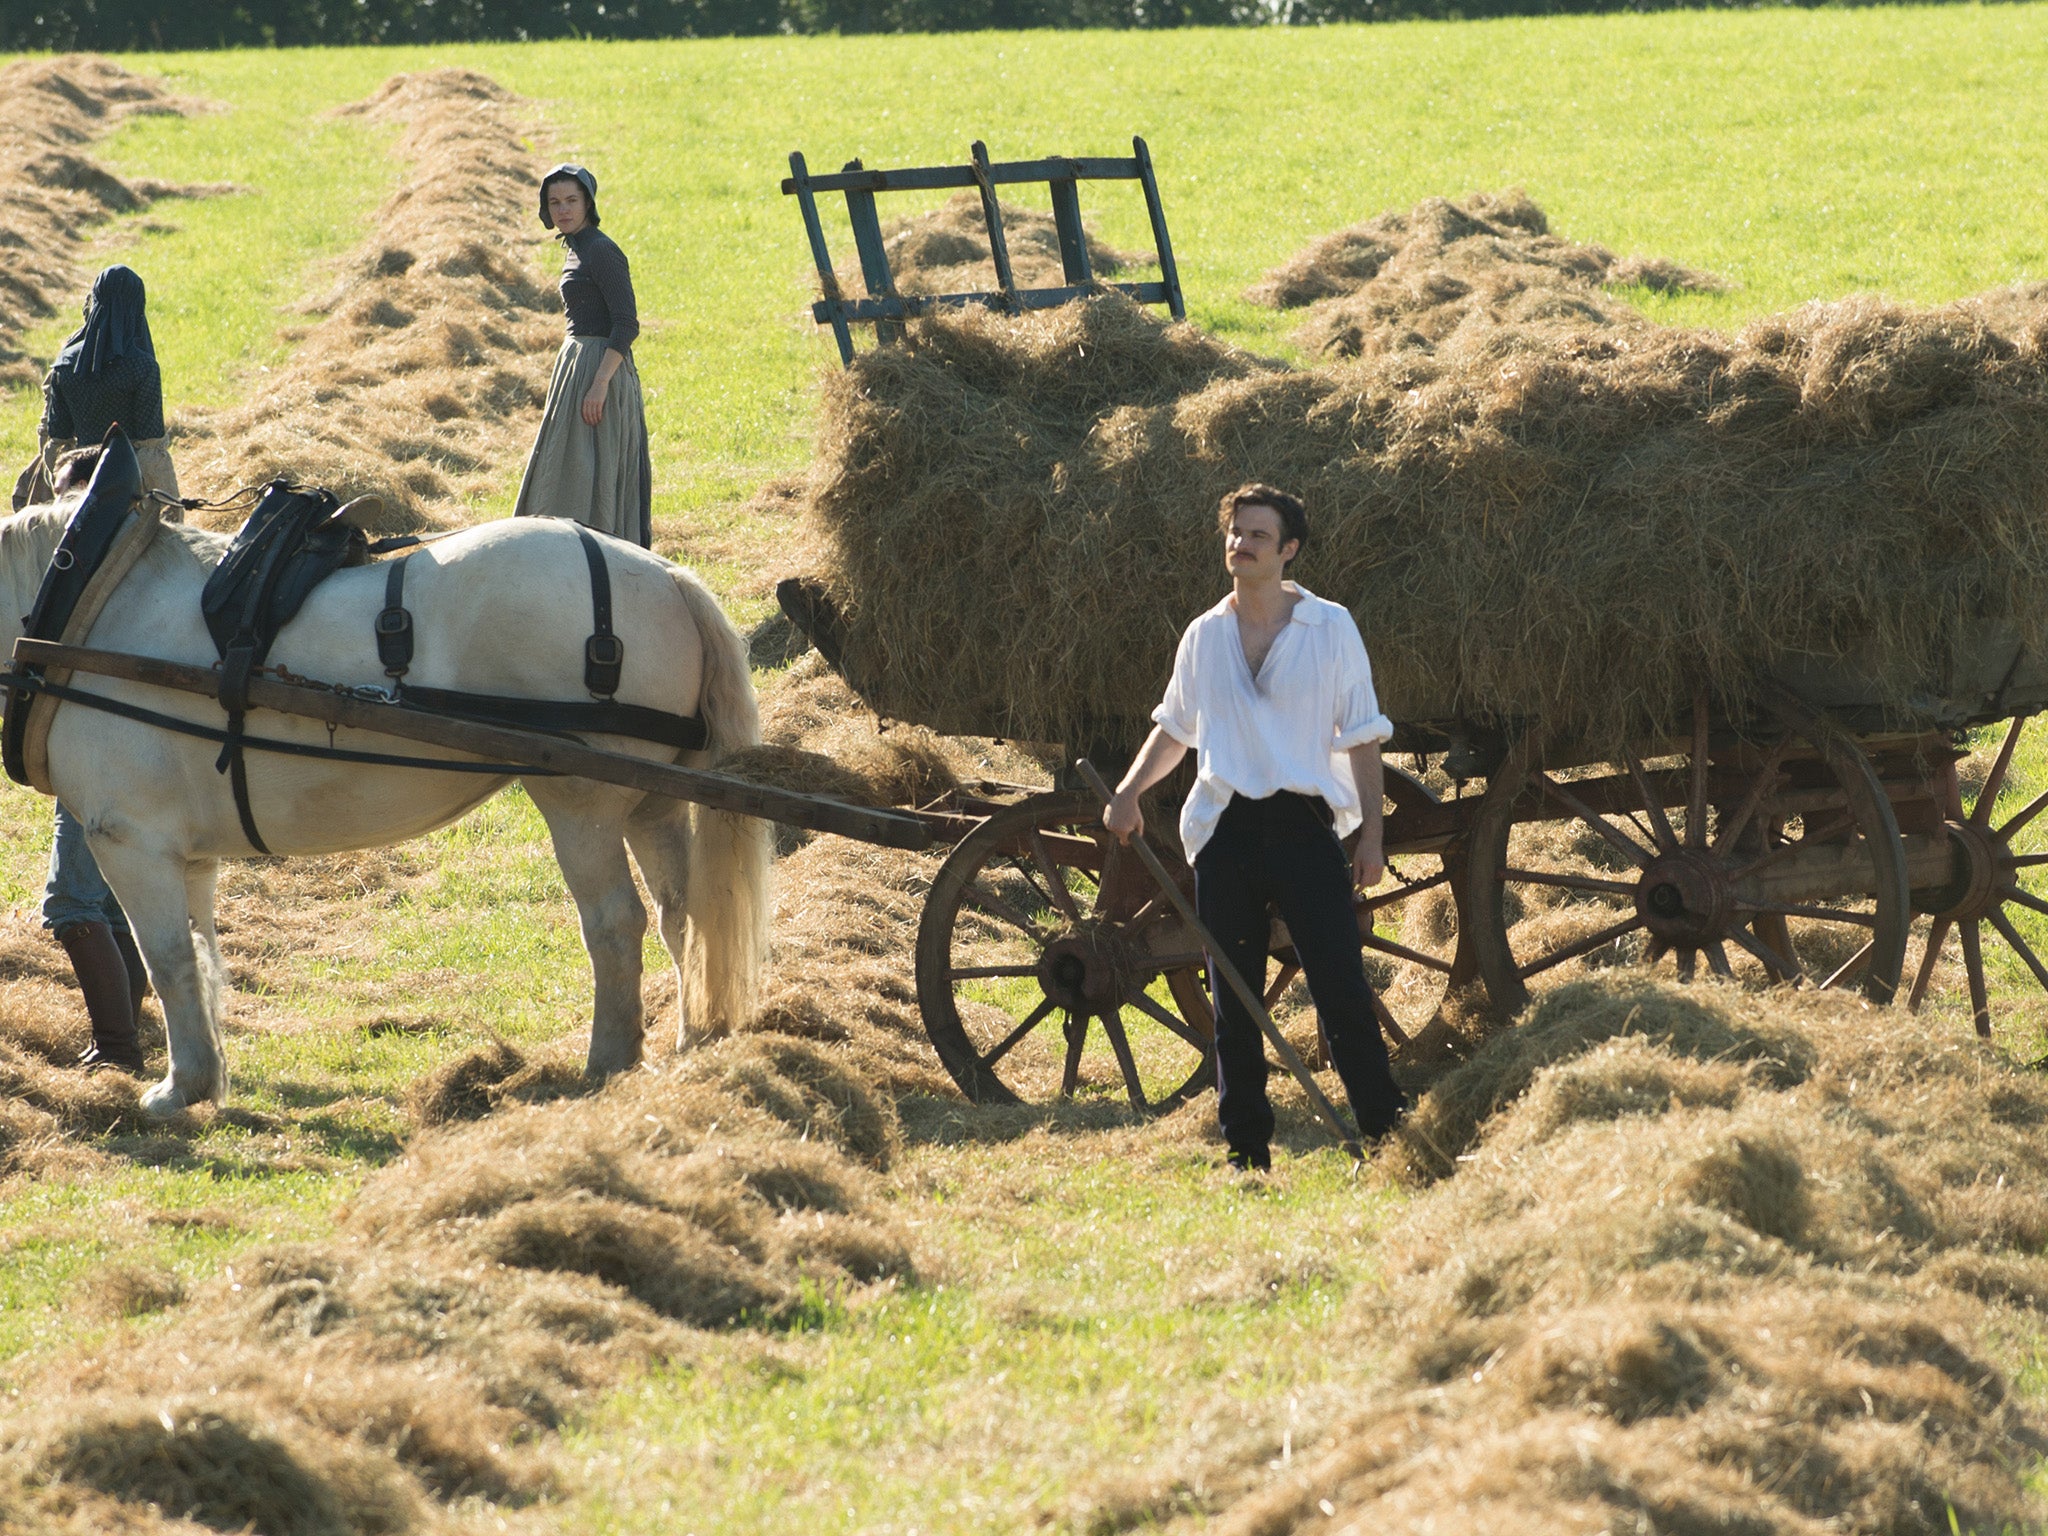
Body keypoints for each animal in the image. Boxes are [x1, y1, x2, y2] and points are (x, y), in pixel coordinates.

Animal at [0, 505, 770, 1122]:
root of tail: (666, 578)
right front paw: (209, 1076)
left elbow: (165, 960)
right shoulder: (190, 856)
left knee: (615, 923)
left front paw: (180, 1089)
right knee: (683, 915)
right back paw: (694, 1042)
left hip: (582, 804)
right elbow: (201, 958)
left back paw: (608, 1059)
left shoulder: (130, 841)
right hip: (655, 802)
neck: (94, 611)